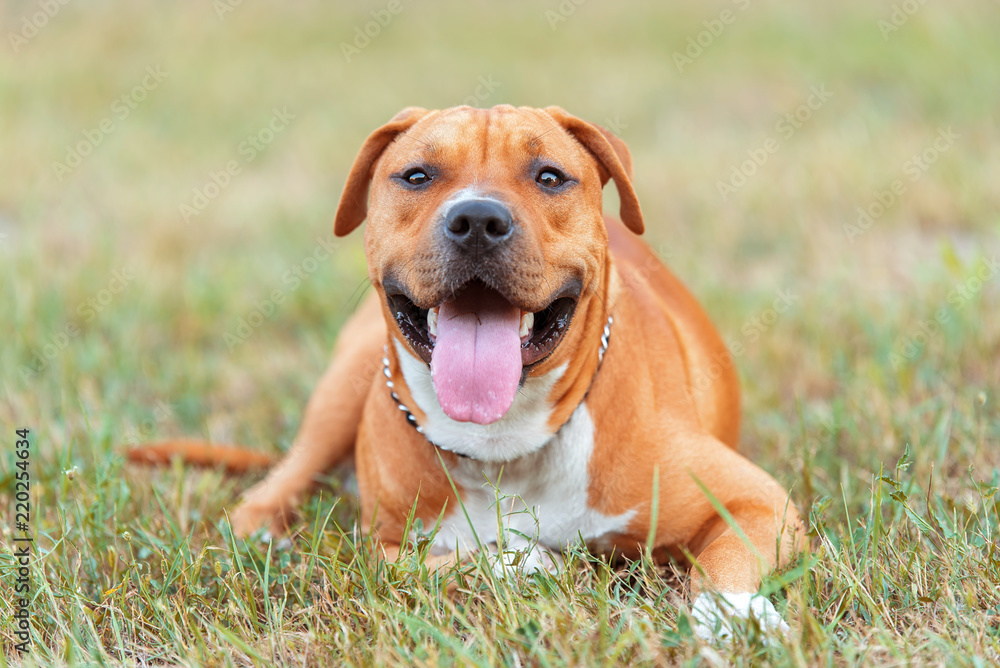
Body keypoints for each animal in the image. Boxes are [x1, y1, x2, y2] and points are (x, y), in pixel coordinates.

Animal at [131, 104, 804, 636]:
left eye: (550, 176)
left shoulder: (759, 503)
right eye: (417, 175)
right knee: (277, 484)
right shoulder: (384, 549)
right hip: (343, 387)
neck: (507, 439)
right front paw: (536, 561)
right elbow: (478, 557)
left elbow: (725, 563)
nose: (478, 219)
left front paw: (737, 618)